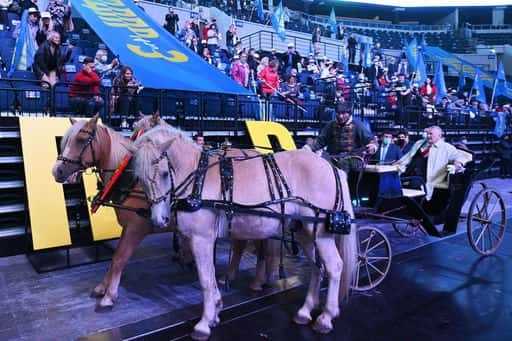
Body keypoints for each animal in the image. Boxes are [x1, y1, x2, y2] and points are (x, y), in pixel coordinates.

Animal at [130, 125, 358, 340]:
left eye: (164, 173)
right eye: (139, 178)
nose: (159, 220)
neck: (197, 176)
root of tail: (332, 167)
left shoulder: (201, 239)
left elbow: (205, 279)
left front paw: (204, 324)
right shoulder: (205, 240)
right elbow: (211, 276)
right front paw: (215, 313)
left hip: (320, 234)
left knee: (334, 267)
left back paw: (326, 318)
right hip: (305, 232)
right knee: (318, 267)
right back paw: (304, 312)